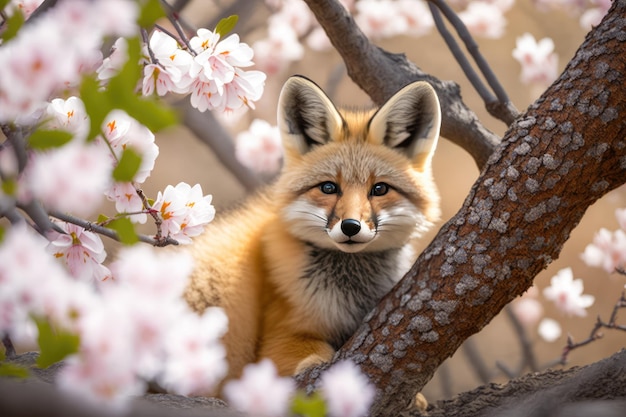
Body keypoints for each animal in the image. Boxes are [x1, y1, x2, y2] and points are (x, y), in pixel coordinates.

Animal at [184, 75, 438, 384]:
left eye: (379, 189)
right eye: (328, 187)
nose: (350, 226)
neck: (350, 294)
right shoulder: (280, 336)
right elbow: (314, 354)